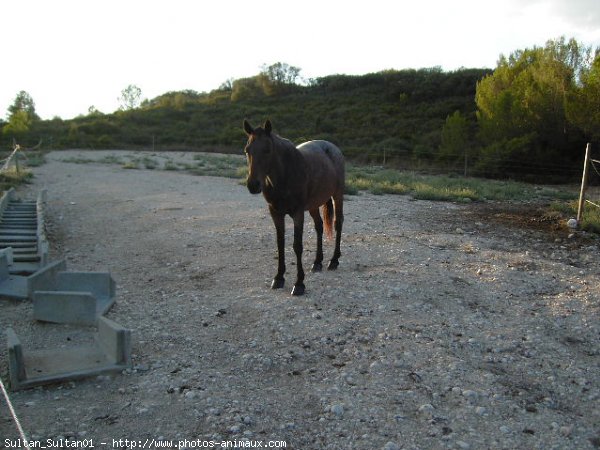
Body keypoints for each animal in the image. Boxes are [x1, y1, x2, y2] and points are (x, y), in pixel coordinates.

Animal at [241, 118, 344, 298]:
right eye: (247, 150)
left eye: (267, 150)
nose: (253, 185)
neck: (284, 175)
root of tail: (332, 148)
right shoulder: (275, 213)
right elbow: (280, 243)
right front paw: (278, 278)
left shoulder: (297, 213)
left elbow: (297, 246)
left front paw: (299, 284)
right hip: (313, 205)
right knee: (319, 226)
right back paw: (318, 262)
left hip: (337, 196)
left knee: (338, 223)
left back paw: (334, 260)